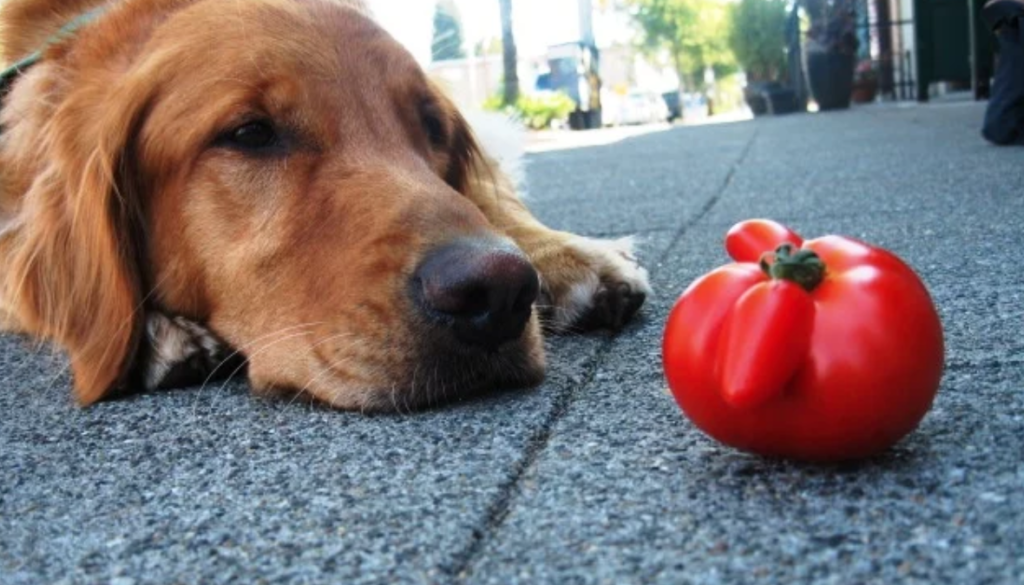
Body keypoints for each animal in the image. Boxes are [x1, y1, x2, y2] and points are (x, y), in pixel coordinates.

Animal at [0, 0, 651, 411]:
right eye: (250, 133)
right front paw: (154, 335)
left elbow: (491, 192)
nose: (500, 289)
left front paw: (571, 256)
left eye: (432, 127)